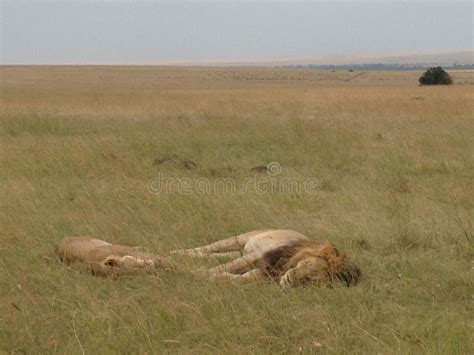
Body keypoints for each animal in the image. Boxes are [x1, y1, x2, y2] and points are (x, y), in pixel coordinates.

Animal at [172, 229, 362, 288]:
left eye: (311, 281)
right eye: (310, 266)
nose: (290, 280)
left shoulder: (262, 274)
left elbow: (232, 277)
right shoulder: (256, 257)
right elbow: (219, 268)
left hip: (239, 251)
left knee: (210, 256)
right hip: (241, 239)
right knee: (204, 249)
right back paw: (173, 254)